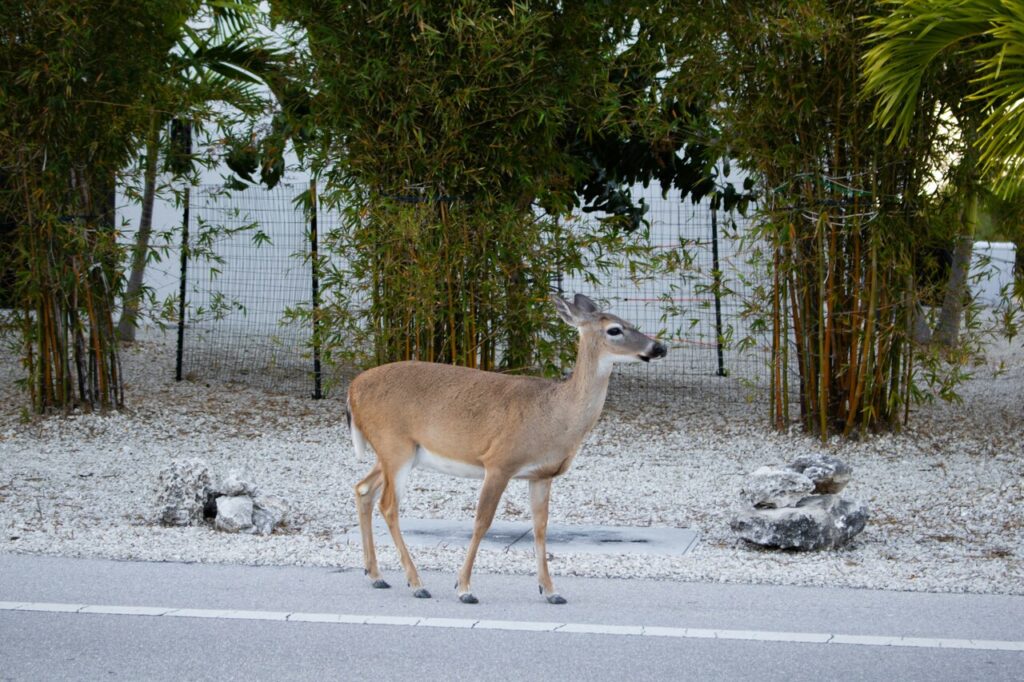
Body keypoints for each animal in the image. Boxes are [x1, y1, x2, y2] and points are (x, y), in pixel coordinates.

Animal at [345, 293, 667, 604]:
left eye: (629, 322)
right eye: (614, 329)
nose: (659, 347)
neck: (556, 416)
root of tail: (352, 388)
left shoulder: (542, 474)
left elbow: (540, 527)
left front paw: (551, 591)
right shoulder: (499, 462)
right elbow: (481, 522)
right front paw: (464, 588)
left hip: (395, 452)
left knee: (363, 489)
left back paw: (376, 575)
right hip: (394, 445)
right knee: (388, 505)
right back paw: (416, 584)